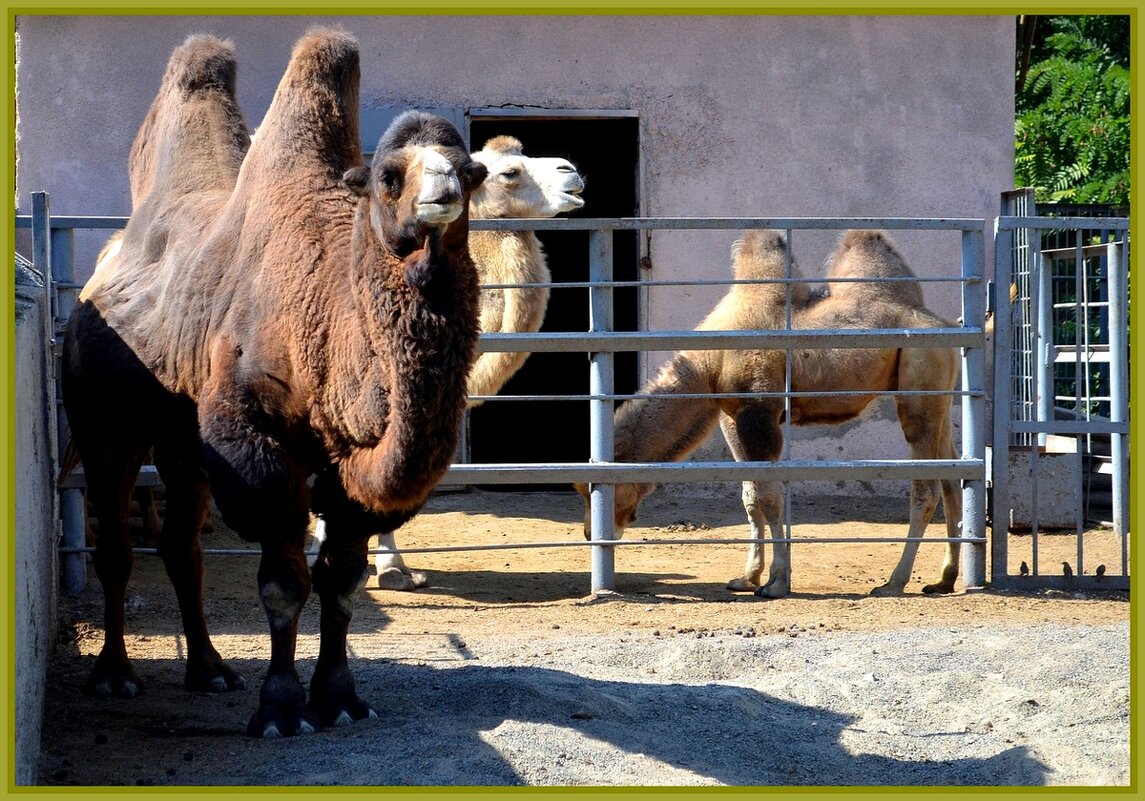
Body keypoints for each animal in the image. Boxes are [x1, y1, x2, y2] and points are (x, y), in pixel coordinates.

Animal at [61, 29, 487, 736]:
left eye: (471, 170)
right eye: (389, 175)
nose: (445, 188)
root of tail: (95, 280)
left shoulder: (347, 463)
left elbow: (342, 579)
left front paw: (339, 700)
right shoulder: (254, 437)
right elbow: (285, 580)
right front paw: (282, 709)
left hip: (184, 442)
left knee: (183, 545)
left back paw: (209, 670)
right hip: (105, 421)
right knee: (117, 543)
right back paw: (115, 675)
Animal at [577, 228, 961, 599]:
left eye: (594, 489)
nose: (588, 533)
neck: (708, 366)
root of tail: (946, 326)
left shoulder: (759, 411)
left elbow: (770, 497)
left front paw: (776, 582)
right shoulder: (732, 417)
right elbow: (750, 496)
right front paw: (747, 577)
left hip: (919, 383)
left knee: (925, 488)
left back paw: (894, 582)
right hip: (939, 397)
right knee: (952, 476)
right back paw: (944, 580)